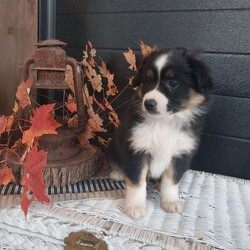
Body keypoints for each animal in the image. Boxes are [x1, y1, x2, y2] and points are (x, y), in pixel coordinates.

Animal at [106, 47, 214, 219]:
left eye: (173, 83)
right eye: (148, 81)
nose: (148, 103)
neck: (164, 122)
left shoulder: (181, 152)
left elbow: (171, 181)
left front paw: (170, 202)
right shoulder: (136, 149)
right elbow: (137, 182)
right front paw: (134, 206)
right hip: (113, 145)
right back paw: (118, 173)